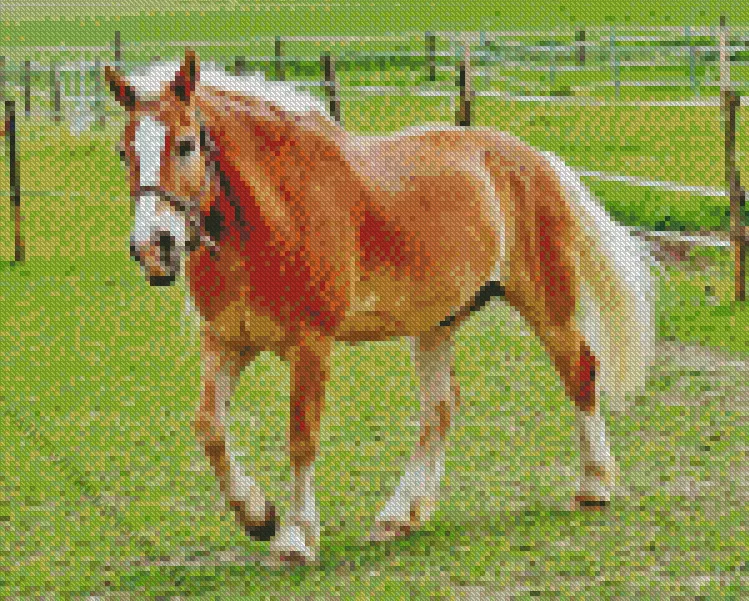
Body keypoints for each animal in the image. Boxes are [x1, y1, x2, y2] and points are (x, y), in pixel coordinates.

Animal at [104, 49, 655, 564]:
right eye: (123, 152)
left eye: (186, 143)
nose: (153, 247)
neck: (272, 214)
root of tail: (537, 160)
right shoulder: (226, 342)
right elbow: (209, 429)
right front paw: (258, 516)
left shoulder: (311, 344)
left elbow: (301, 436)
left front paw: (296, 538)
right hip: (437, 322)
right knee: (440, 409)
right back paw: (401, 515)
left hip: (546, 303)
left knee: (579, 369)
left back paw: (593, 486)